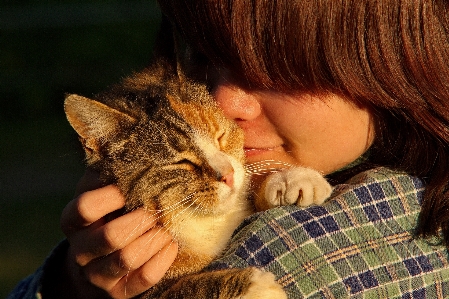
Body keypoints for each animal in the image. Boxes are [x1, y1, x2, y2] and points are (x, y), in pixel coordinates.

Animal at [65, 59, 332, 298]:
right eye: (182, 162)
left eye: (220, 136)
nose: (228, 175)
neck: (199, 222)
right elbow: (185, 288)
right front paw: (253, 286)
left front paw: (290, 180)